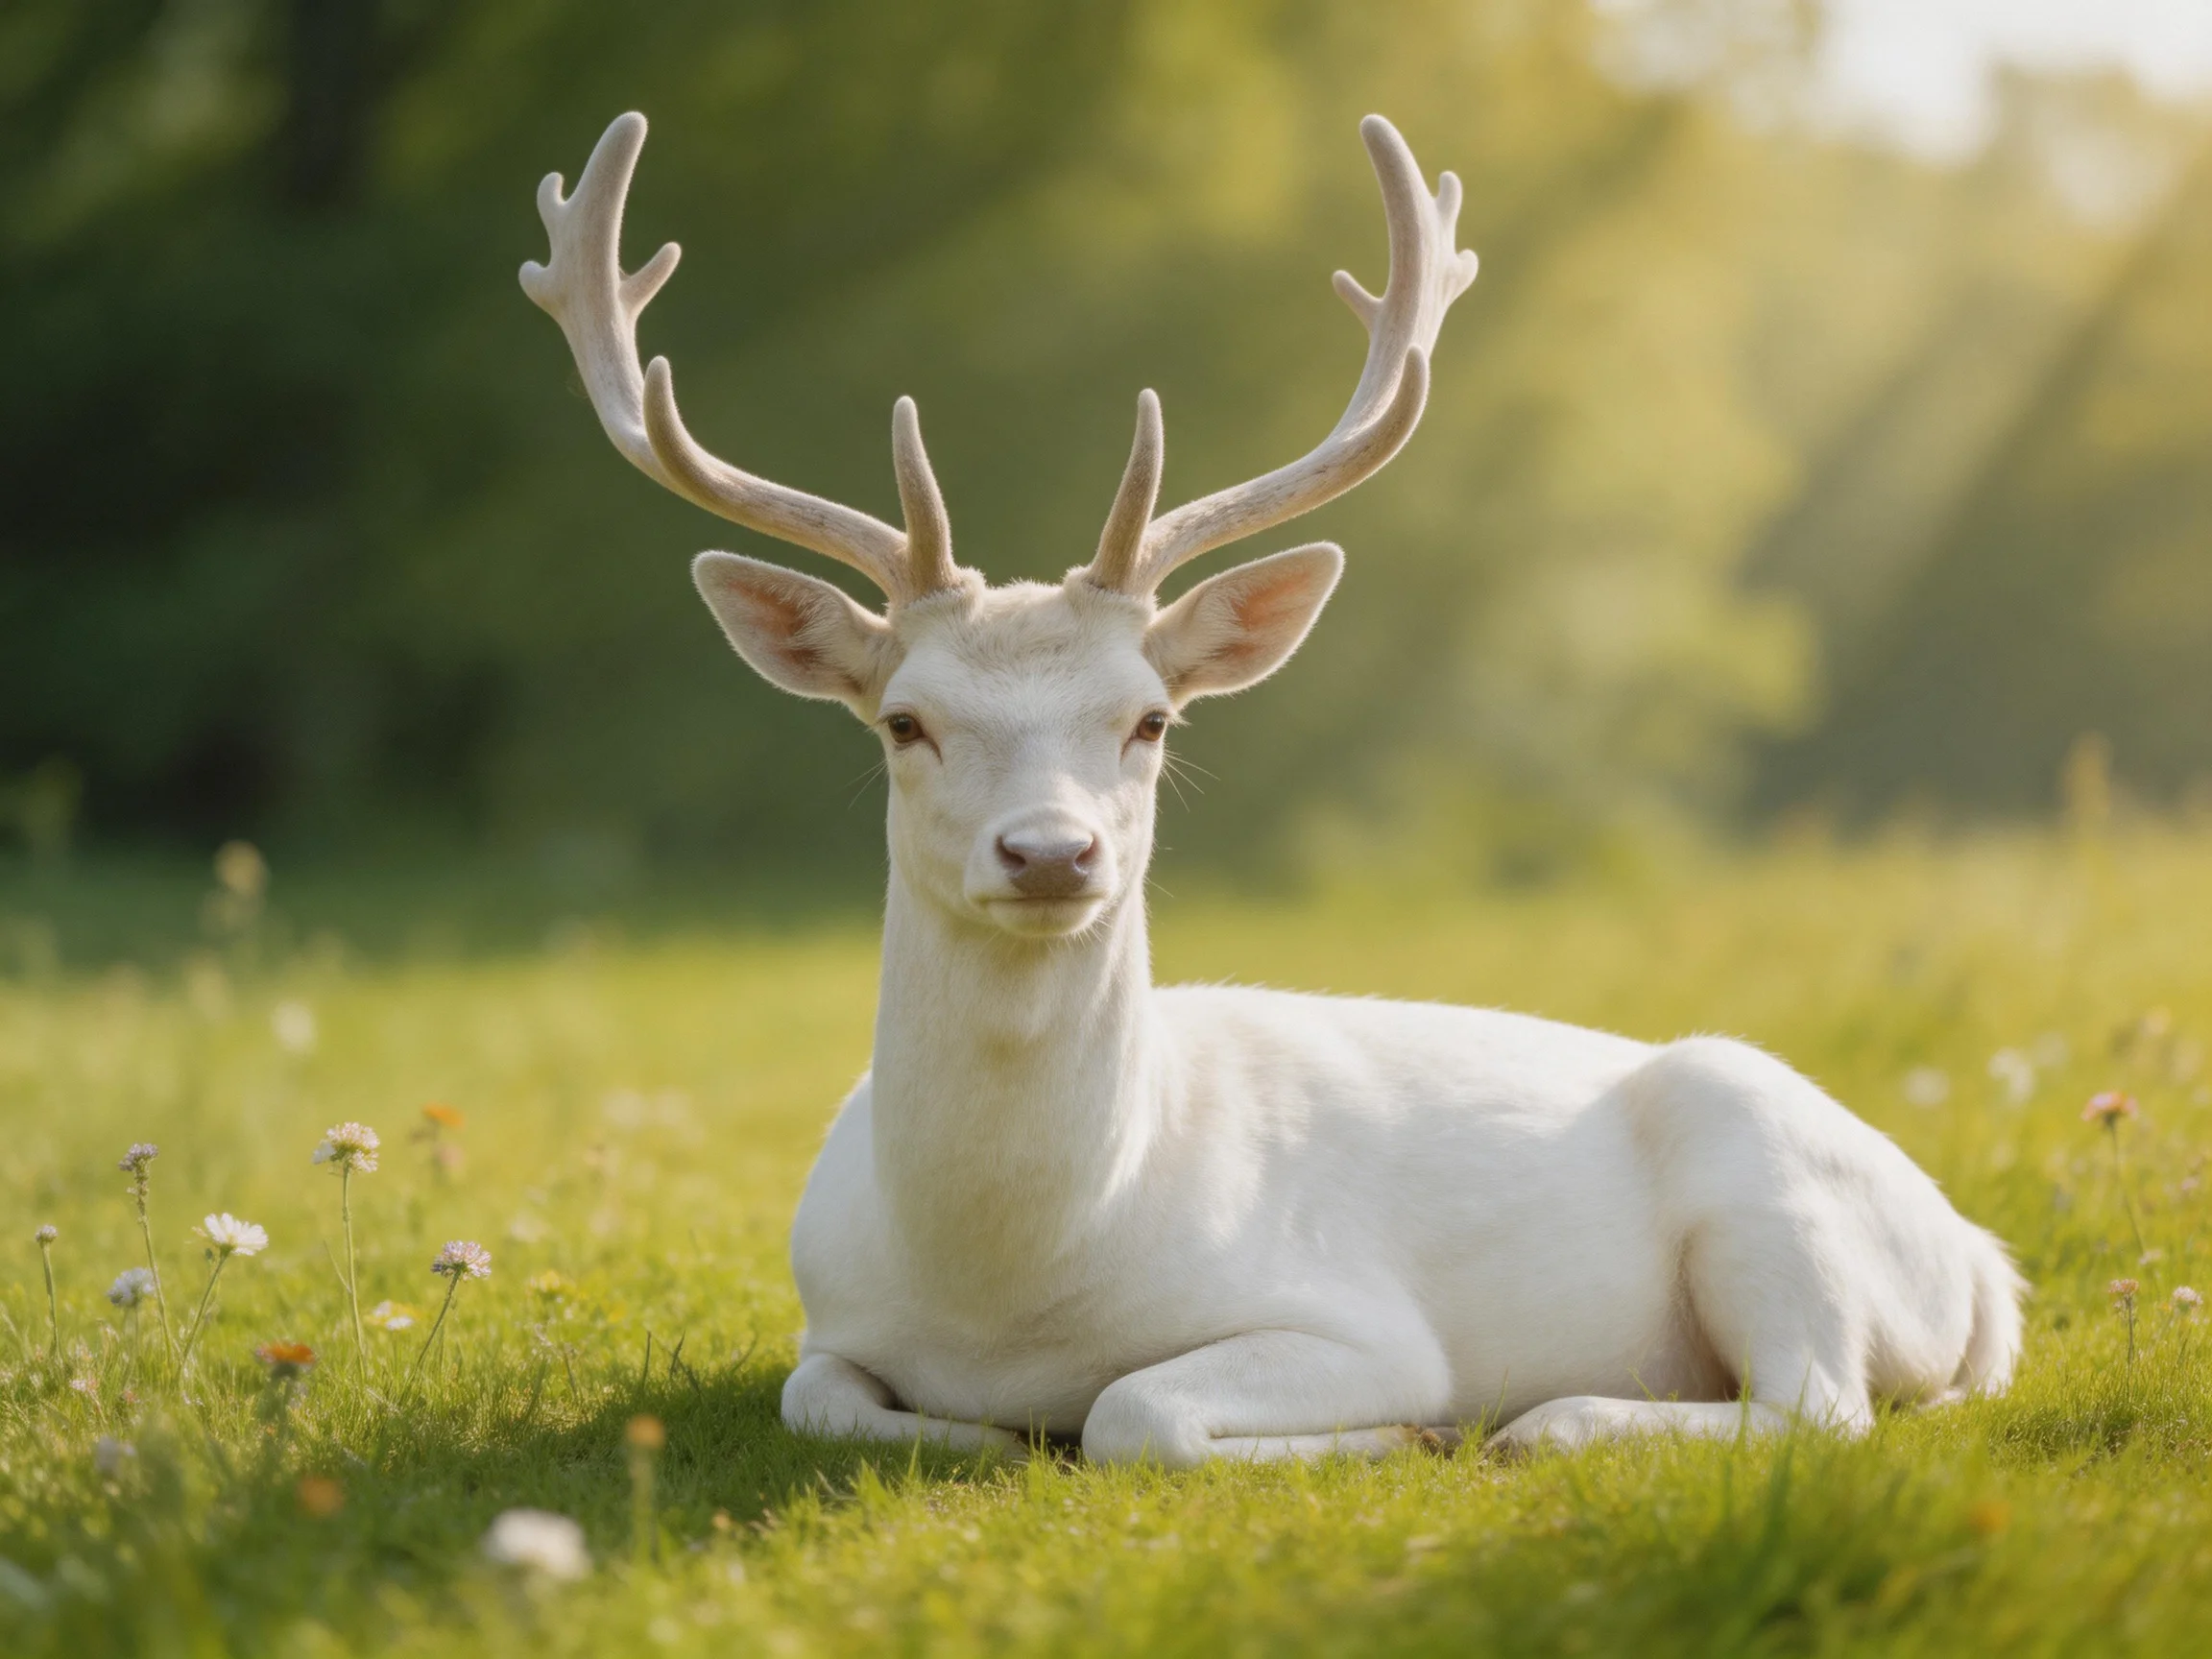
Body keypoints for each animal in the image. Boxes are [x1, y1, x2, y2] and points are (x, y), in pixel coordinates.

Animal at [522, 112, 2023, 1464]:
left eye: (1150, 719)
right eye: (905, 720)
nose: (1052, 854)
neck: (1011, 1289)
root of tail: (1982, 1265)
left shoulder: (1355, 1316)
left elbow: (1134, 1413)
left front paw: (1397, 1432)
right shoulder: (826, 1318)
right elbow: (824, 1400)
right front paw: (984, 1436)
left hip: (1773, 1188)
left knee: (1819, 1404)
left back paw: (1541, 1420)